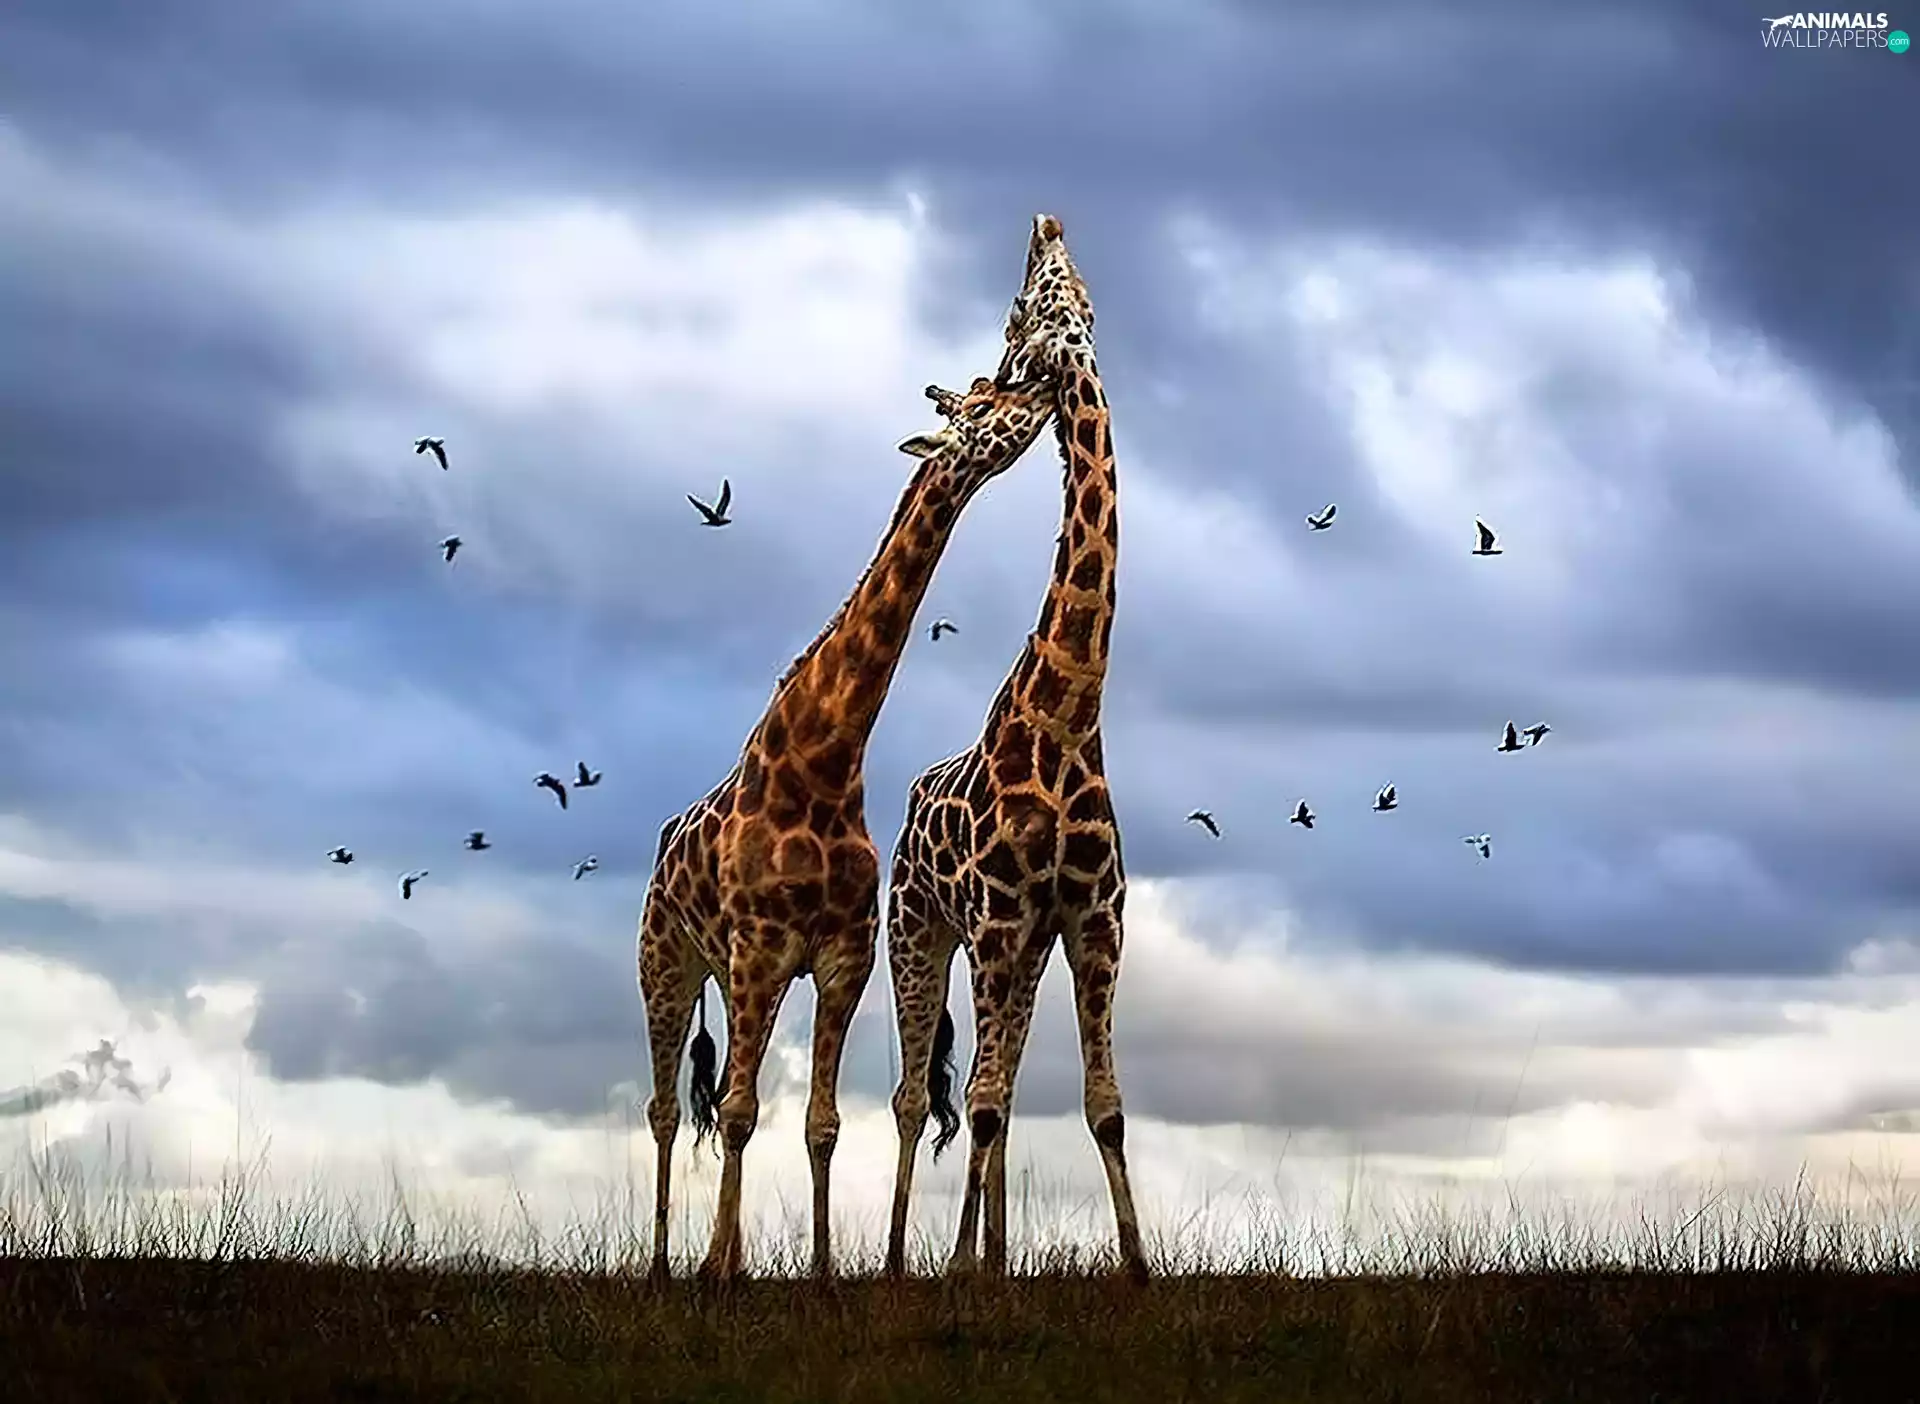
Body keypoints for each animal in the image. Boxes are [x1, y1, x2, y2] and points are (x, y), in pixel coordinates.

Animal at [636, 360, 1061, 1283]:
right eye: (984, 403)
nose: (1042, 390)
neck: (822, 765)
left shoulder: (841, 958)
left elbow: (818, 1122)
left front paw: (826, 1274)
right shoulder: (761, 951)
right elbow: (738, 1112)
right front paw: (720, 1274)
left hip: (727, 976)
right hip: (667, 963)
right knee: (664, 1108)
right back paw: (662, 1266)